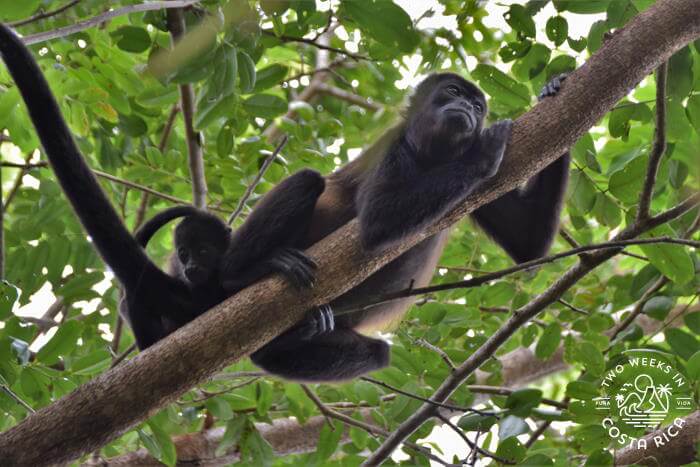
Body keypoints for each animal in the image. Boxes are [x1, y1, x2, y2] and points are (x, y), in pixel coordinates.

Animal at [219, 72, 571, 382]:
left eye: (477, 106)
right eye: (454, 91)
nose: (468, 108)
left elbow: (528, 245)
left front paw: (554, 88)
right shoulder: (394, 143)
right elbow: (377, 222)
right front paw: (483, 152)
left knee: (377, 353)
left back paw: (298, 335)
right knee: (306, 180)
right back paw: (248, 272)